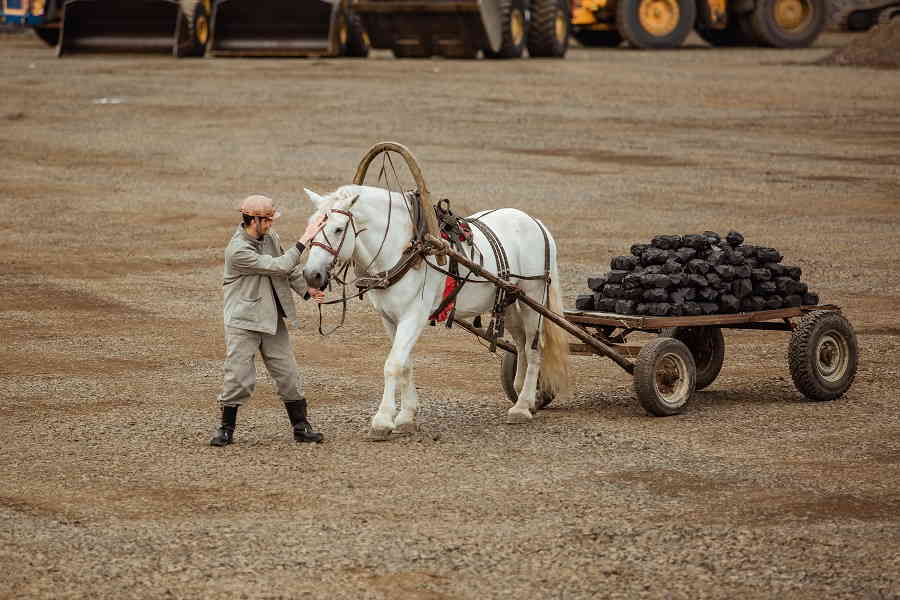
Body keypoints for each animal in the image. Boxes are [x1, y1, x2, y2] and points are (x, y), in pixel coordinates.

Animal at [302, 185, 568, 438]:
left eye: (338, 229)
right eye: (311, 226)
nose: (311, 275)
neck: (404, 249)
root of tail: (535, 222)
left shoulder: (413, 316)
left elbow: (393, 364)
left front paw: (383, 420)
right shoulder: (390, 318)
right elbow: (405, 364)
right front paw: (406, 417)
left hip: (533, 296)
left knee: (534, 349)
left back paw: (522, 407)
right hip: (509, 301)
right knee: (521, 345)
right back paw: (524, 394)